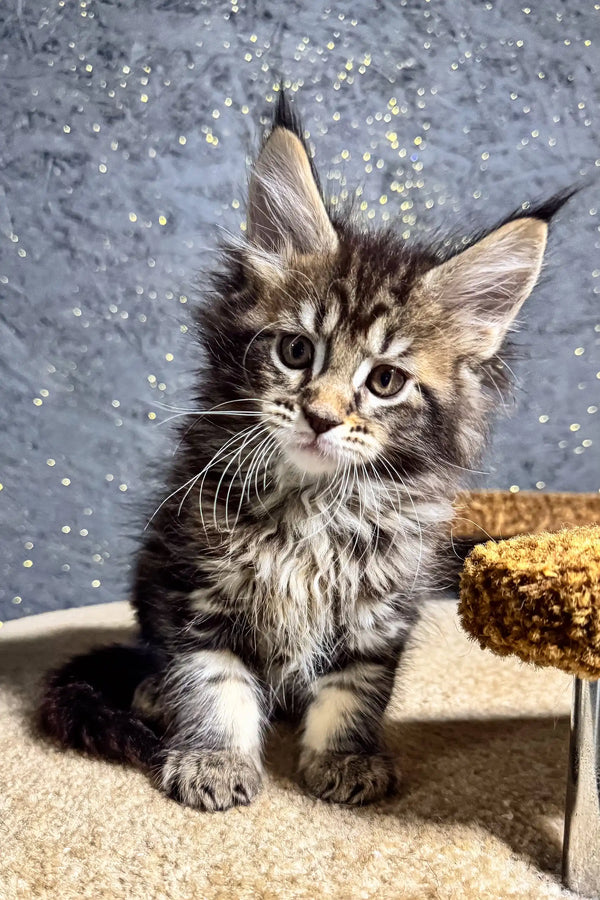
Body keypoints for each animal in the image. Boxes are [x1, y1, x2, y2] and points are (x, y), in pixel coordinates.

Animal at [41, 95, 568, 812]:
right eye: (296, 352)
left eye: (385, 381)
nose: (320, 417)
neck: (312, 506)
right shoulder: (196, 585)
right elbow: (212, 681)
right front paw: (212, 758)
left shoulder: (382, 607)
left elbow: (353, 690)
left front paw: (345, 759)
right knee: (152, 652)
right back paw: (154, 692)